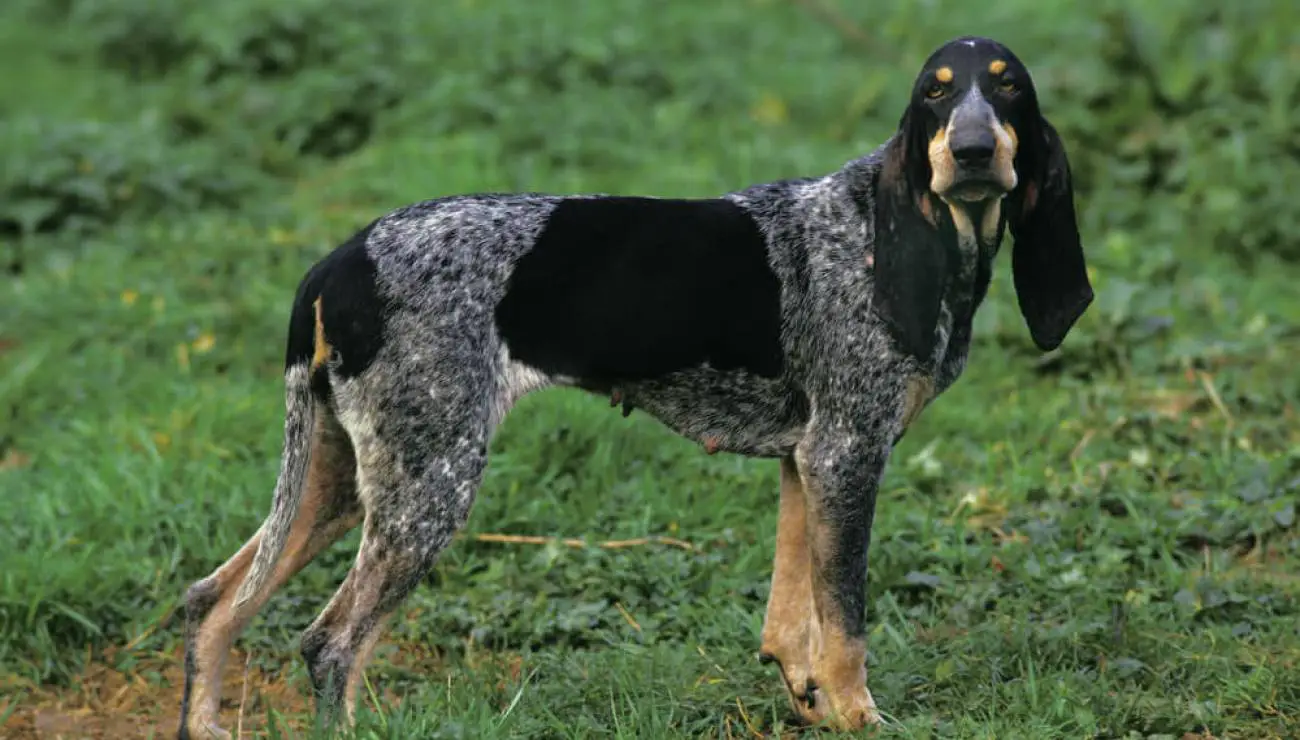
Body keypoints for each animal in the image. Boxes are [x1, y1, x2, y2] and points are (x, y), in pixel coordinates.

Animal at [180, 36, 1097, 738]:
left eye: (1008, 88)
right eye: (934, 94)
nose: (972, 151)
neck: (899, 237)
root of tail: (339, 262)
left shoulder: (806, 461)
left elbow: (791, 619)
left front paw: (810, 703)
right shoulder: (848, 456)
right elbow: (845, 625)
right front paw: (859, 717)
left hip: (341, 481)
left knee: (212, 602)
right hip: (426, 489)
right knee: (330, 645)